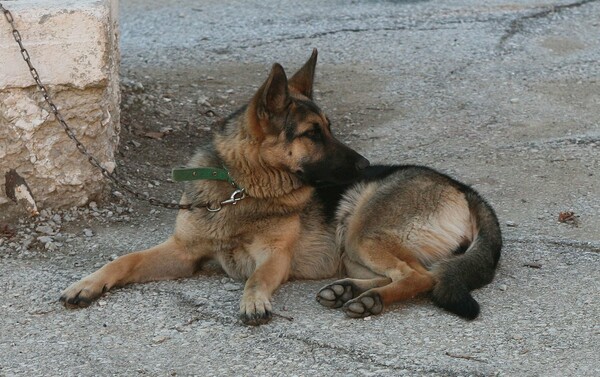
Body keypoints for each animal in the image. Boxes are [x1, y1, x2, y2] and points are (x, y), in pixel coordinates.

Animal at [61, 49, 502, 324]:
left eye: (330, 129)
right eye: (313, 133)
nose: (365, 166)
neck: (240, 190)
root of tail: (464, 188)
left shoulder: (273, 256)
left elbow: (256, 277)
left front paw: (254, 301)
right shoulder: (182, 253)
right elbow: (124, 259)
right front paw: (88, 283)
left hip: (361, 230)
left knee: (422, 277)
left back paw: (370, 300)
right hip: (353, 248)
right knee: (409, 274)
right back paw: (348, 291)